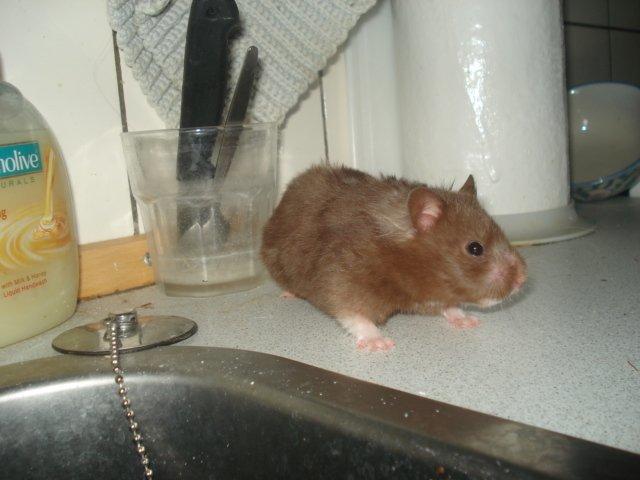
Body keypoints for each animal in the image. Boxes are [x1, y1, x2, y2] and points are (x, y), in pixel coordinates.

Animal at [261, 165, 527, 351]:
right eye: (475, 248)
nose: (524, 278)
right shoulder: (341, 279)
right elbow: (354, 315)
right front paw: (380, 344)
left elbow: (448, 306)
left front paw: (468, 321)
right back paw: (289, 293)